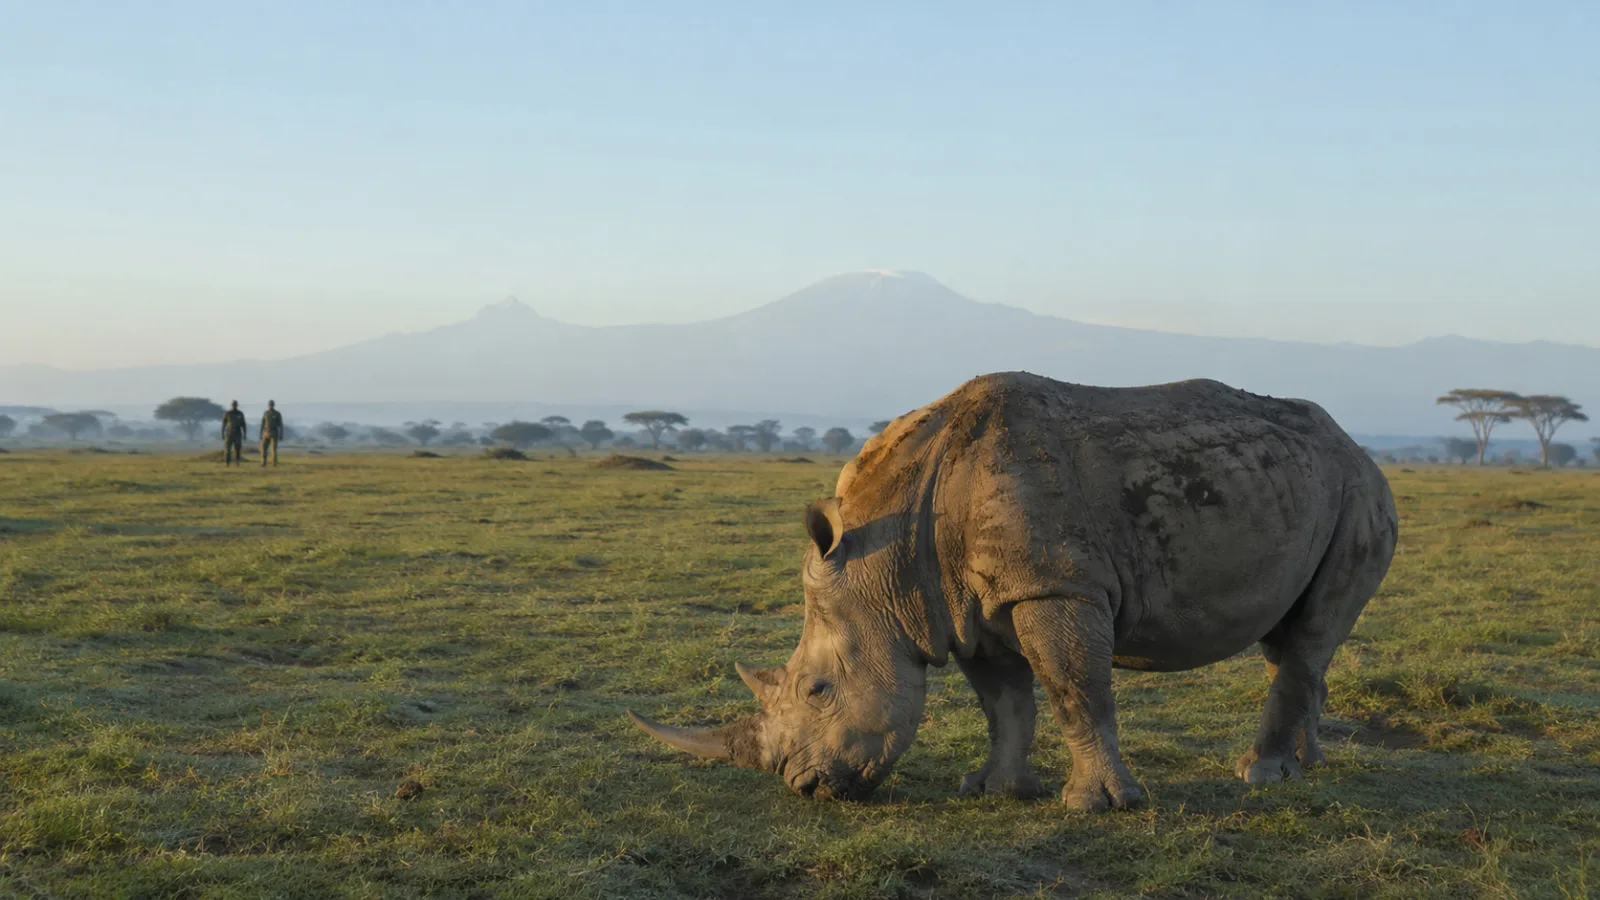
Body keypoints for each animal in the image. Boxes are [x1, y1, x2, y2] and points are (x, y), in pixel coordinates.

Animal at [630, 372, 1397, 810]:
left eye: (818, 690)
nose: (803, 787)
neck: (884, 554)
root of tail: (1358, 447)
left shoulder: (1053, 586)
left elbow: (1074, 690)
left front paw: (1097, 806)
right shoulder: (959, 607)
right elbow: (1005, 703)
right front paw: (996, 791)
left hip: (1360, 492)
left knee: (1310, 634)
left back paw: (1261, 778)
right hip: (1304, 487)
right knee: (1290, 640)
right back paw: (1303, 768)